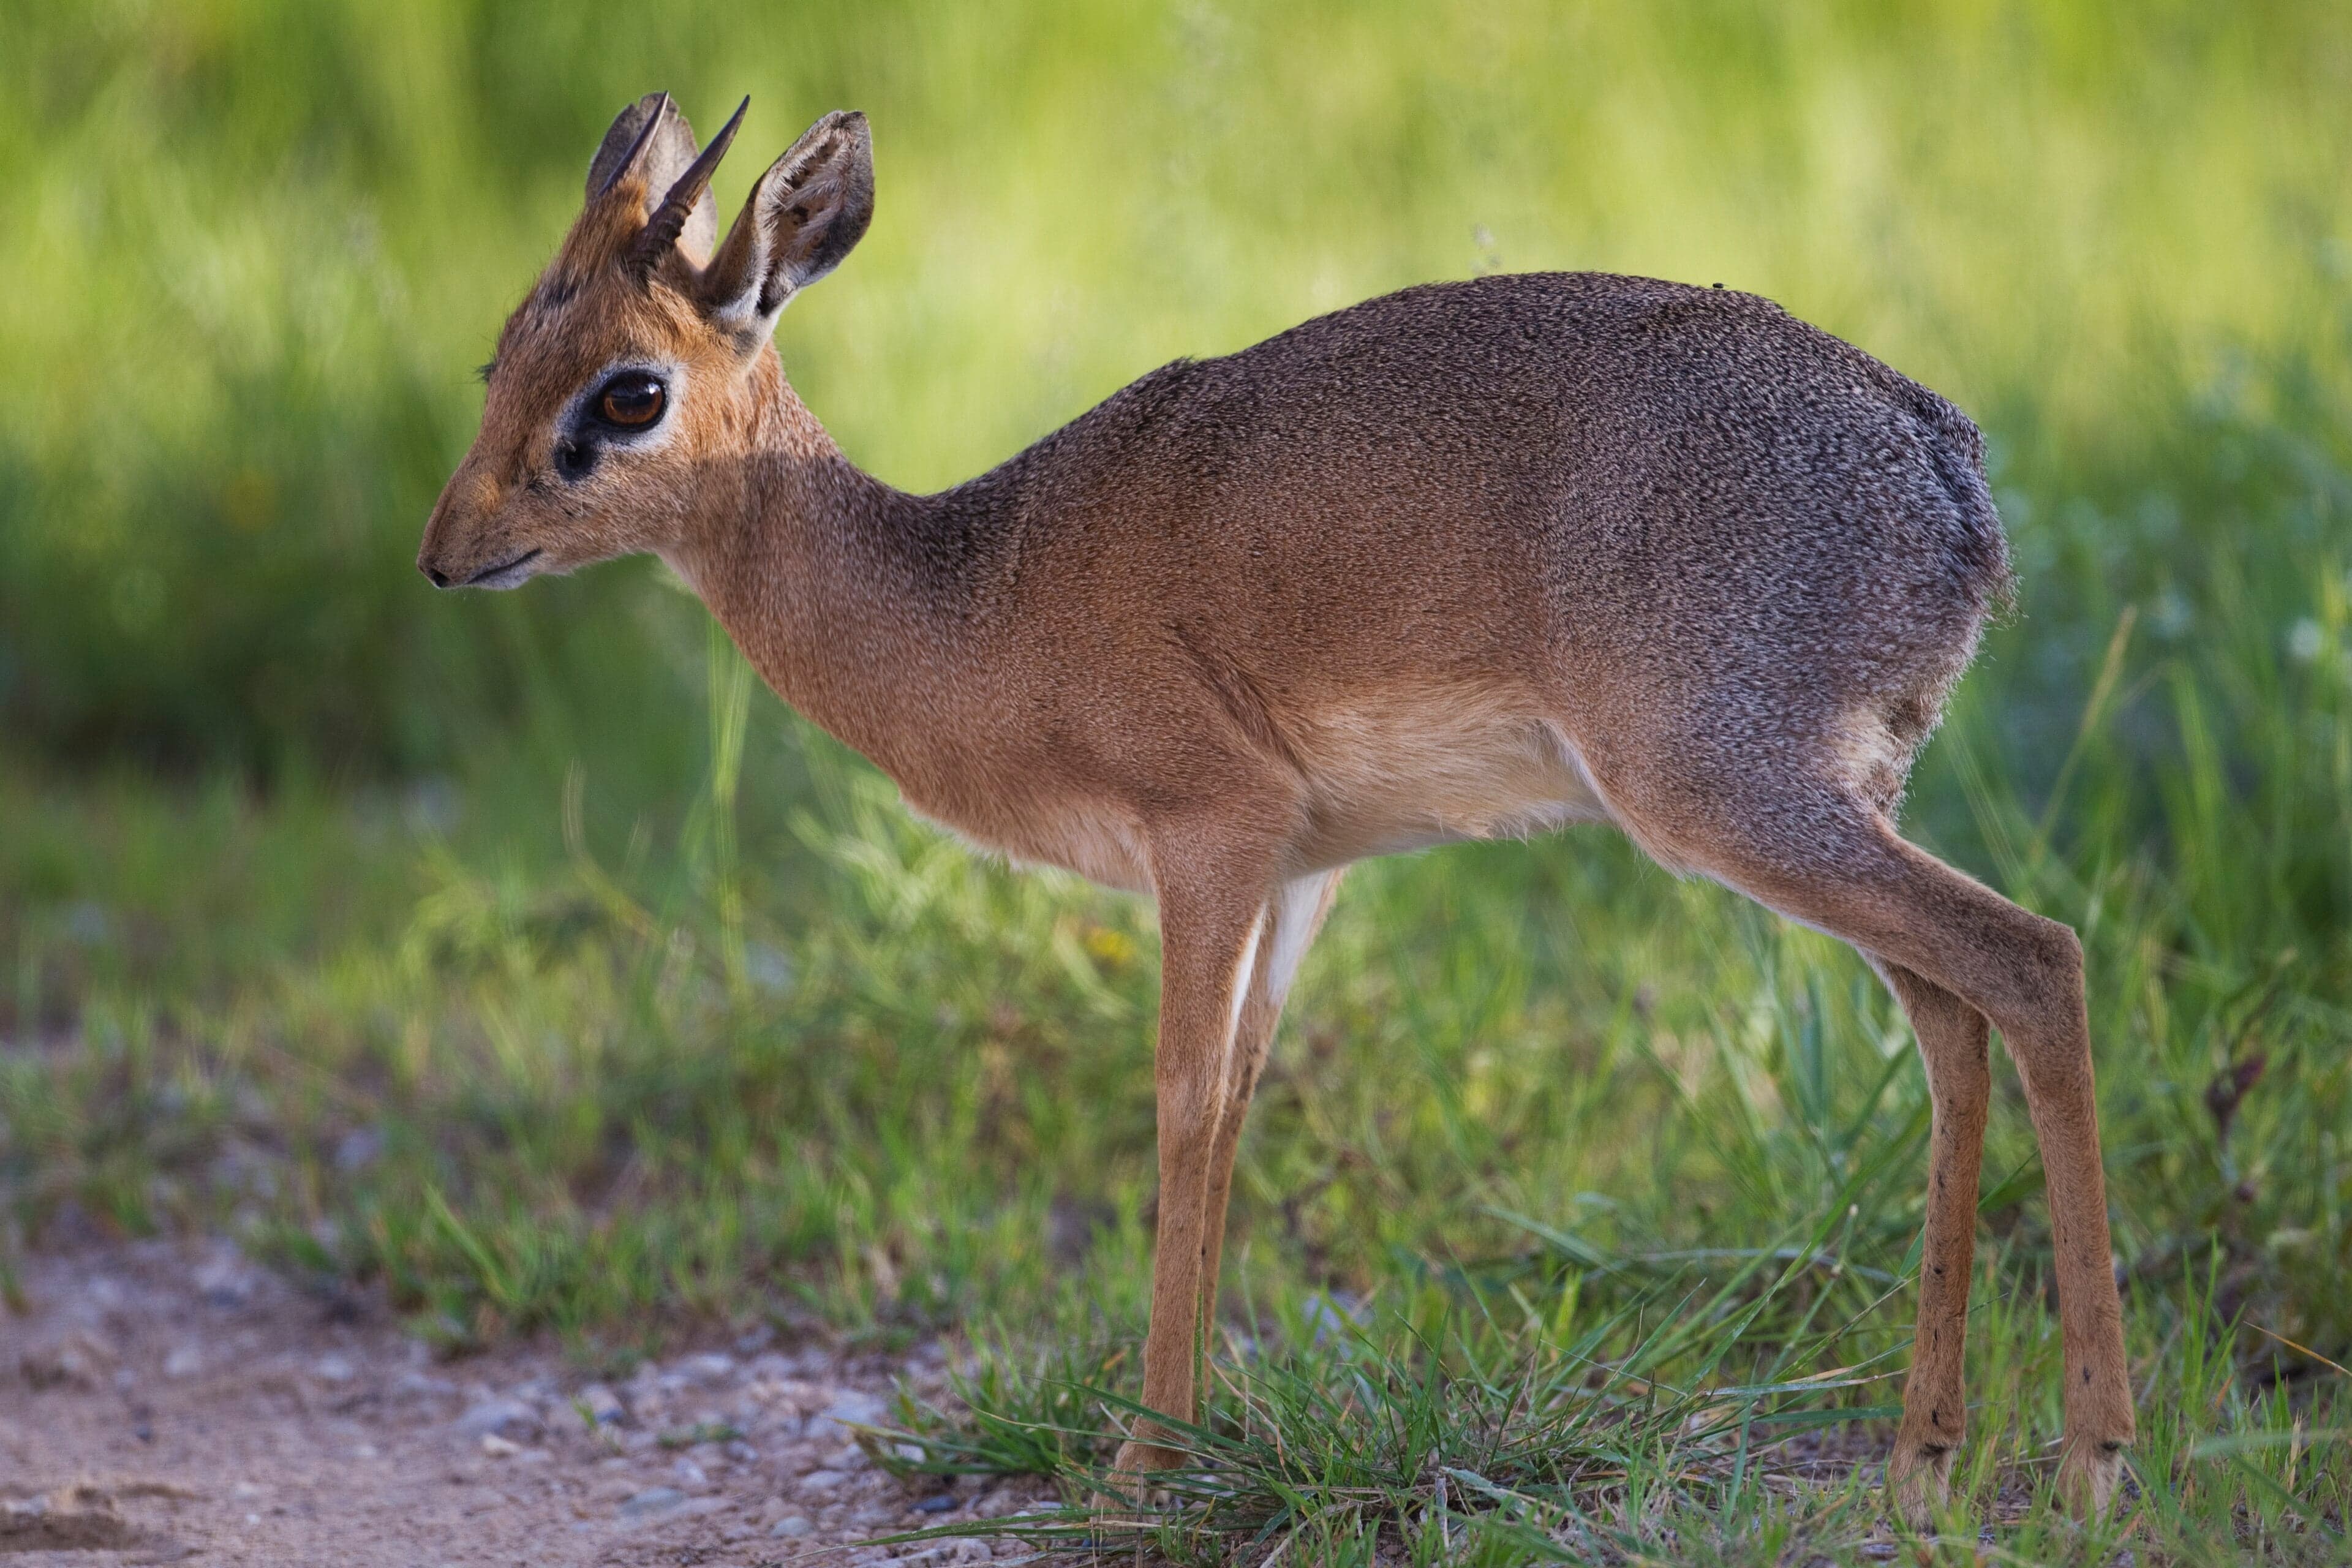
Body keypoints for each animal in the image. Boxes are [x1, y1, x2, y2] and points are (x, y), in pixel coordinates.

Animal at [418, 94, 2134, 1520]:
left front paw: (1142, 1462)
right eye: (504, 351)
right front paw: (1194, 1433)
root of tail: (1945, 463)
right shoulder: (1307, 867)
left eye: (628, 393)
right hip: (1828, 800)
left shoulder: (1209, 833)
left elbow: (1181, 1100)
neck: (976, 592)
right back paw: (1922, 1460)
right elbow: (1242, 1095)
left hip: (1732, 796)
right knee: (1952, 1014)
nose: (448, 552)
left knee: (2035, 958)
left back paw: (2092, 1463)